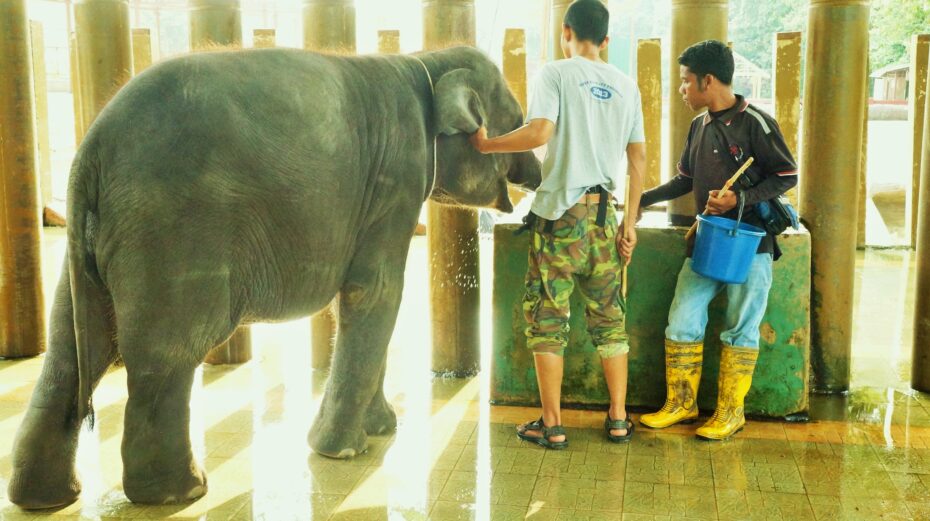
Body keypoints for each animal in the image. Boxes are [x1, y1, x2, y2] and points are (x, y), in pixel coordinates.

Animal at [8, 45, 540, 508]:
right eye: (517, 122)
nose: (536, 176)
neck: (423, 62)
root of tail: (89, 151)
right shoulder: (398, 178)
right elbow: (375, 294)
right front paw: (344, 451)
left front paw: (382, 429)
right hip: (172, 230)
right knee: (168, 355)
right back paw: (181, 493)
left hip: (92, 246)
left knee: (69, 353)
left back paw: (44, 498)